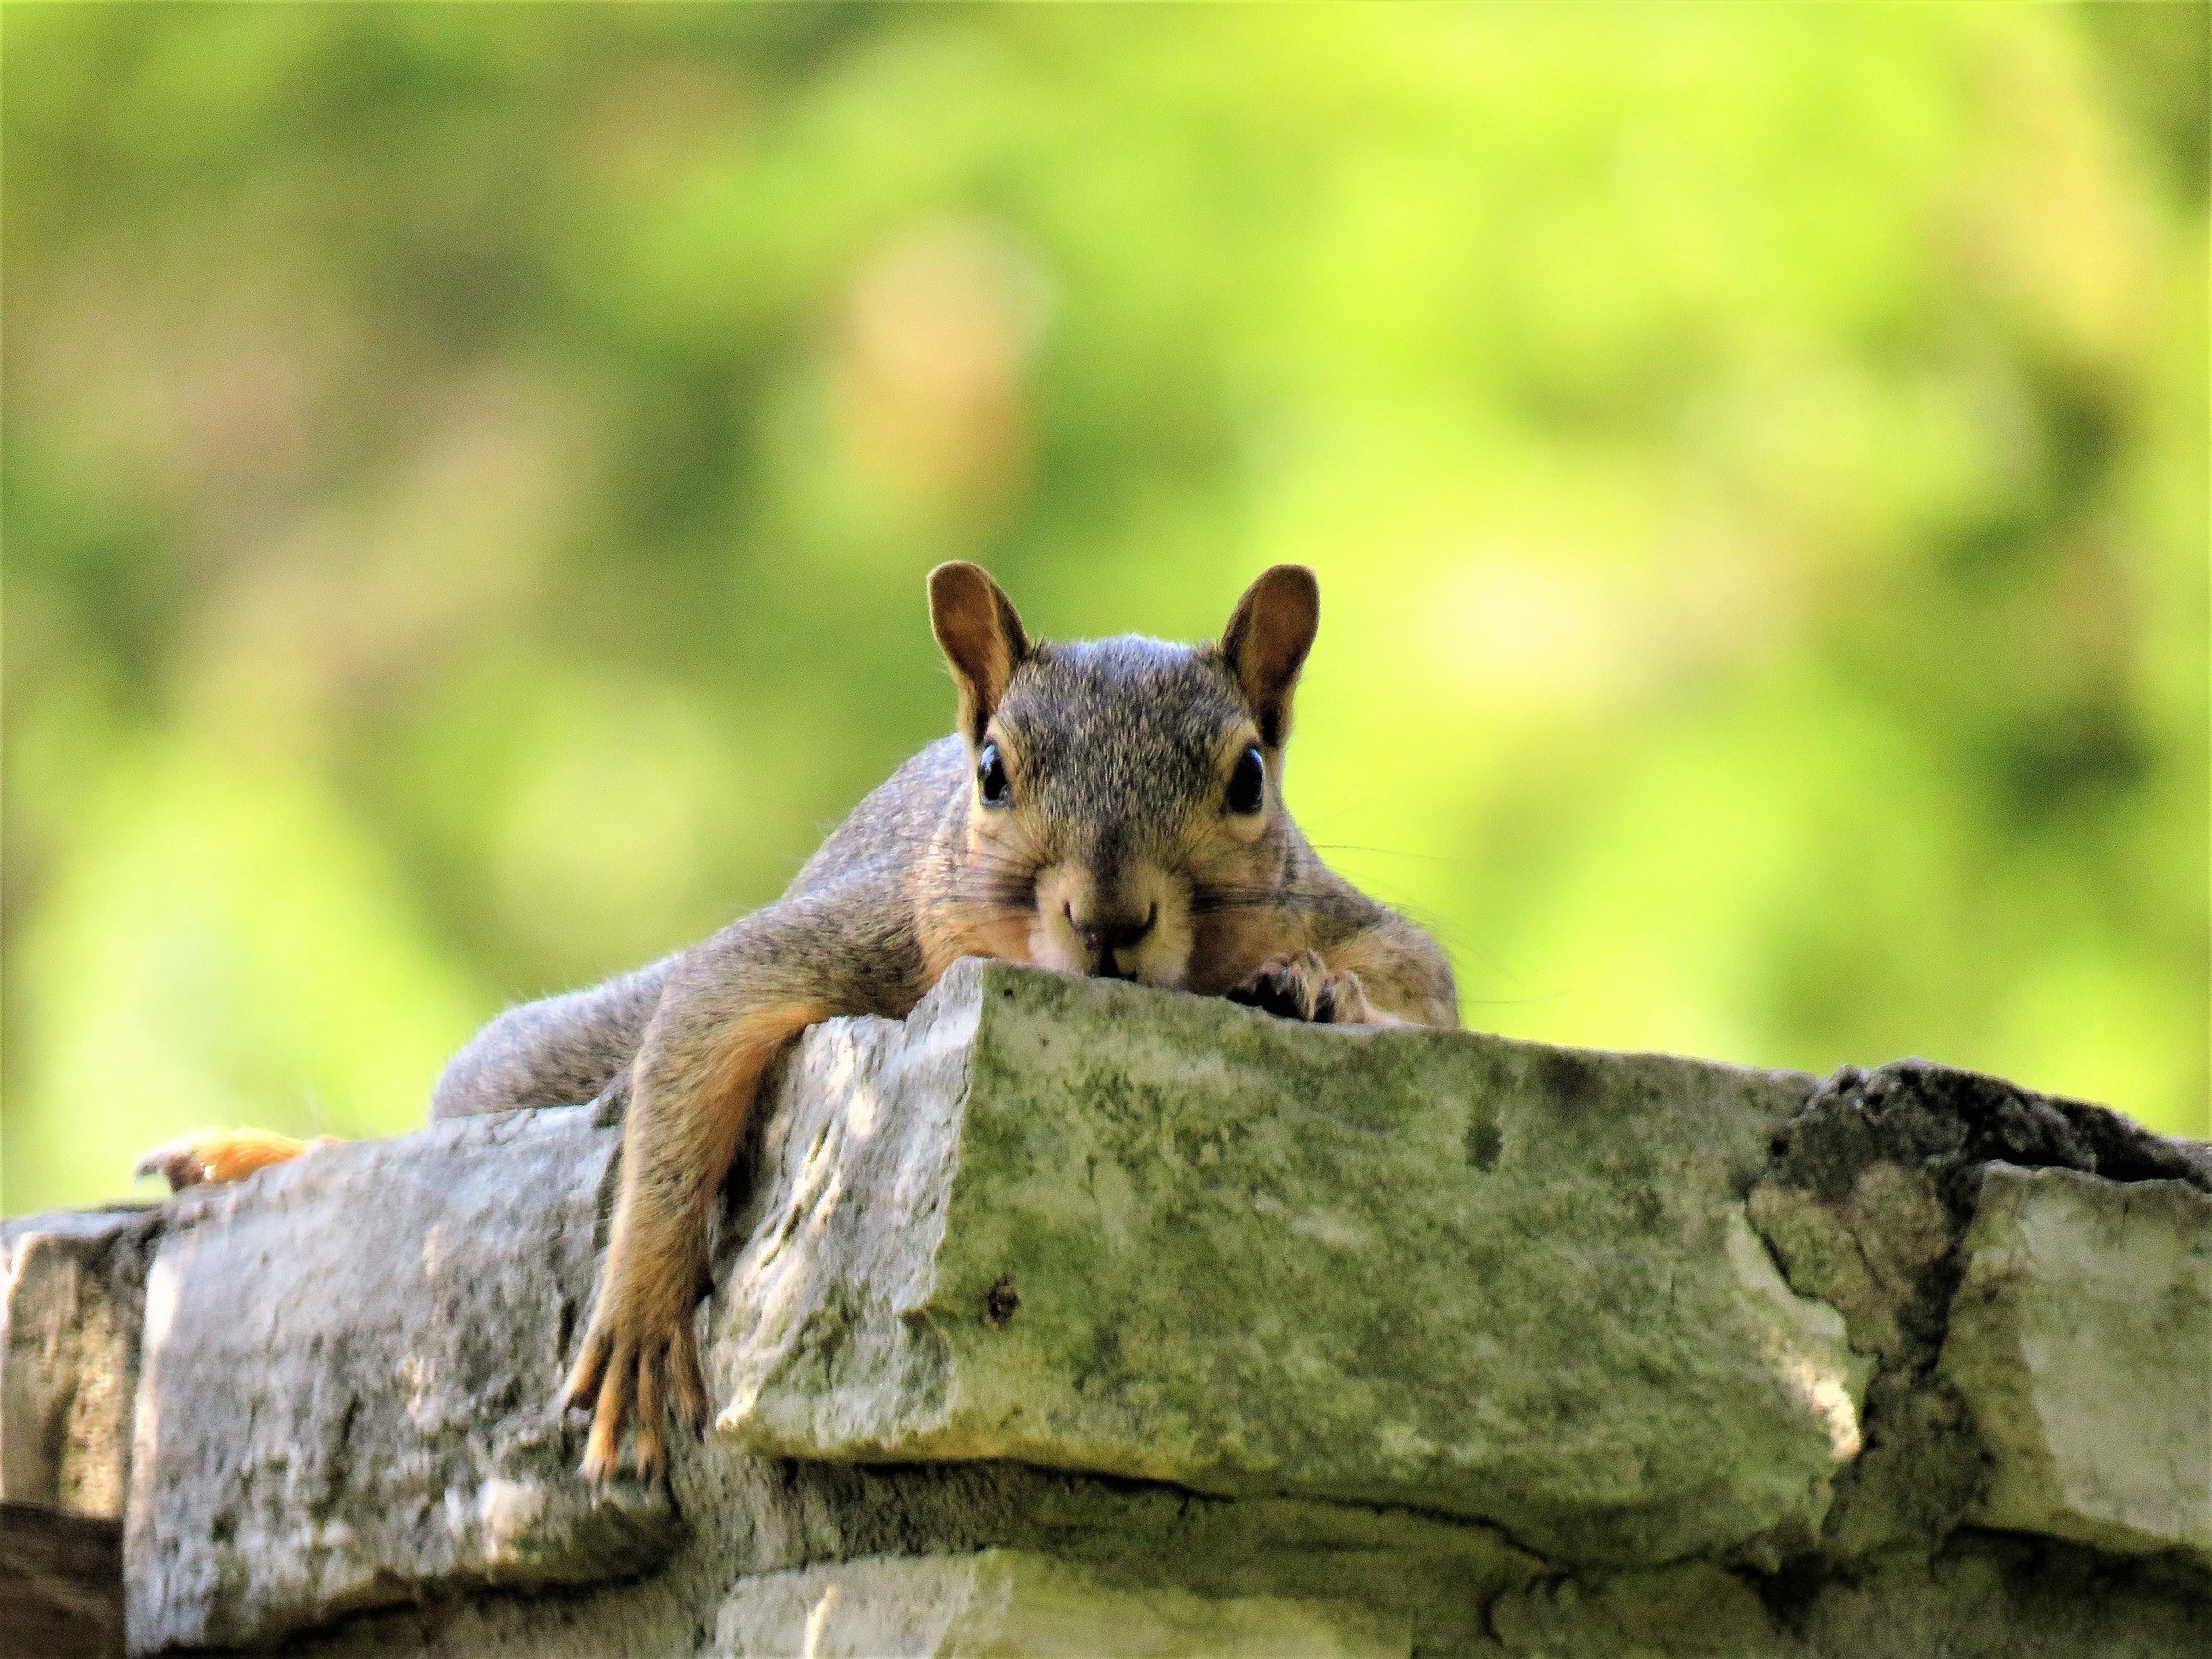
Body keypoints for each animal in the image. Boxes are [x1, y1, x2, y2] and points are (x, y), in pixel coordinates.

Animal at [133, 565, 1451, 1486]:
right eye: (991, 771)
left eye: (1248, 777)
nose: (1111, 921)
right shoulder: (867, 935)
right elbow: (704, 1023)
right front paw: (639, 1310)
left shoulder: (1344, 911)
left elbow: (1419, 984)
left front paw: (1318, 990)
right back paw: (264, 1156)